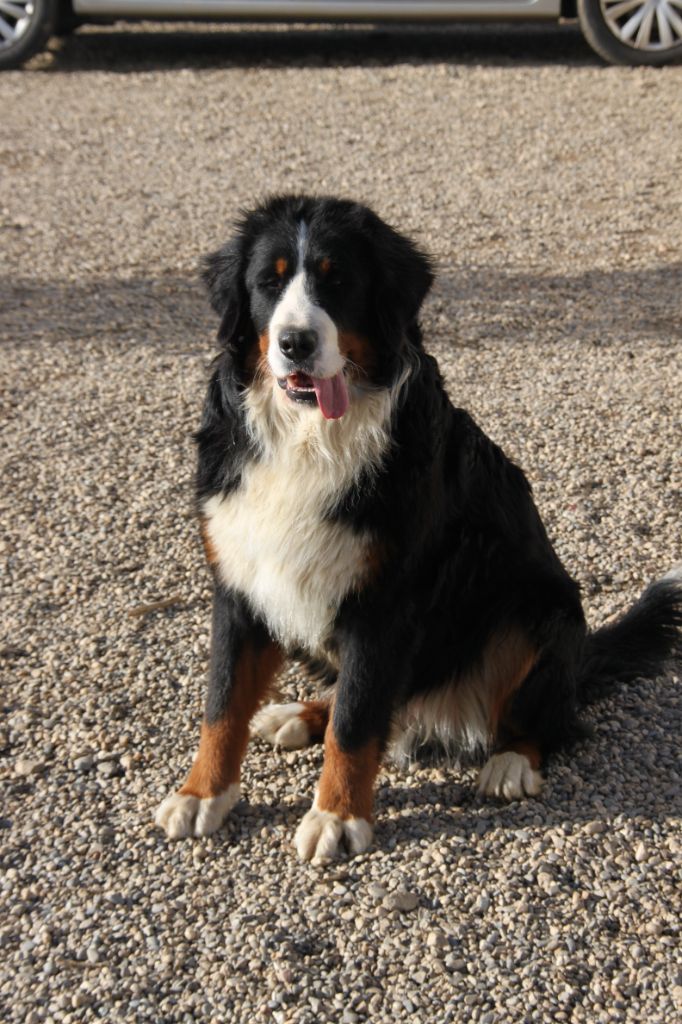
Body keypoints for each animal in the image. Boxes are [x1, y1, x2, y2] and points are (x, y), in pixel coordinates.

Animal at [155, 194, 681, 862]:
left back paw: (511, 762)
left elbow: (357, 723)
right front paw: (202, 795)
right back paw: (297, 715)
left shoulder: (383, 603)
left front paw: (337, 817)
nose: (296, 343)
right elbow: (222, 703)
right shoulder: (240, 581)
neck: (308, 438)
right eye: (268, 284)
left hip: (536, 609)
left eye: (337, 280)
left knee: (545, 721)